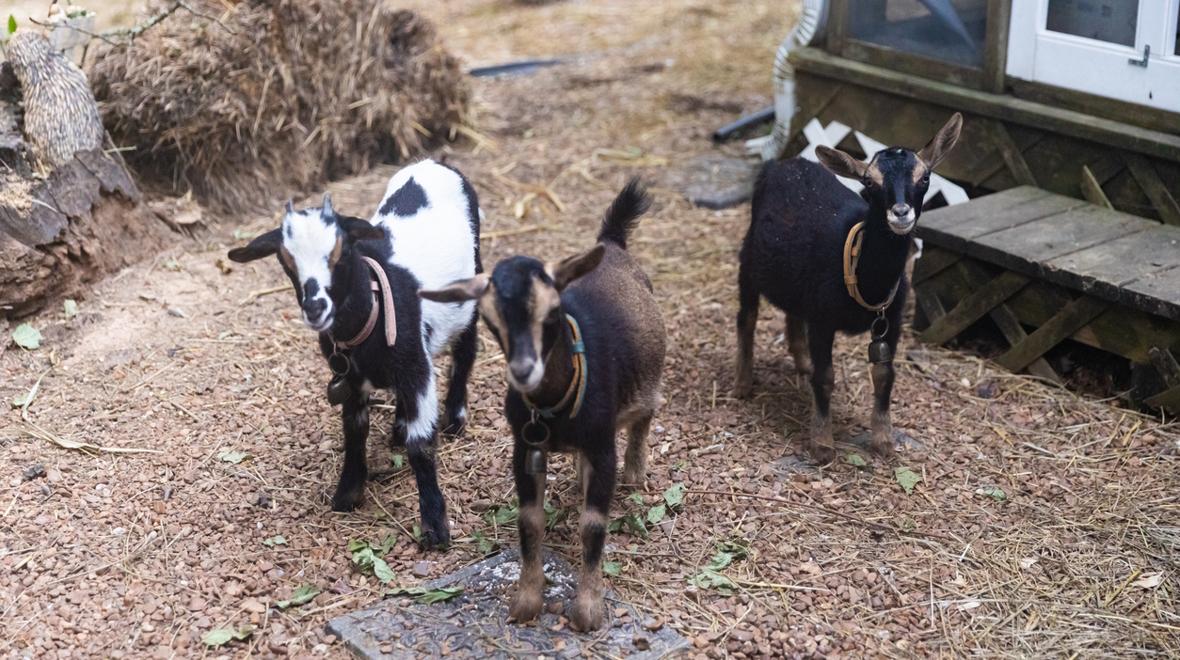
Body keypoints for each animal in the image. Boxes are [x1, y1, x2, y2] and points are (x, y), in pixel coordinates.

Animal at [227, 159, 482, 549]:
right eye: (286, 259)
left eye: (341, 250)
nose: (315, 307)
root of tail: (433, 163)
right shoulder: (349, 377)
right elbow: (354, 429)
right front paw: (348, 492)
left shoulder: (417, 369)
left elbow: (421, 446)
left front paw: (435, 528)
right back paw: (399, 425)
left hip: (472, 287)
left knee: (466, 350)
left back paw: (455, 417)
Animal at [420, 179, 665, 631]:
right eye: (491, 319)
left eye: (553, 310)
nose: (523, 370)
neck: (553, 404)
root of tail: (611, 244)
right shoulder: (525, 447)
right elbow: (530, 521)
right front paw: (527, 600)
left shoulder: (602, 445)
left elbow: (593, 525)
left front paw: (588, 609)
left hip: (649, 373)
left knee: (646, 412)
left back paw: (636, 472)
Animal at [735, 114, 962, 463]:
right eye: (869, 183)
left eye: (924, 177)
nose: (901, 213)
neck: (865, 277)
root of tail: (782, 164)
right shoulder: (822, 320)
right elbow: (826, 377)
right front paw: (822, 443)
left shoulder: (892, 320)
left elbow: (884, 375)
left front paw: (883, 439)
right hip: (748, 262)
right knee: (746, 319)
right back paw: (744, 383)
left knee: (791, 312)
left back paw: (801, 362)